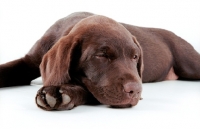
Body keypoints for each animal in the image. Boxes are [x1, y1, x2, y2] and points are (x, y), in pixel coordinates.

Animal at [0, 12, 200, 110]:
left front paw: (60, 93)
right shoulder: (29, 61)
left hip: (190, 63)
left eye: (135, 57)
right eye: (101, 55)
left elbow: (89, 90)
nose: (136, 91)